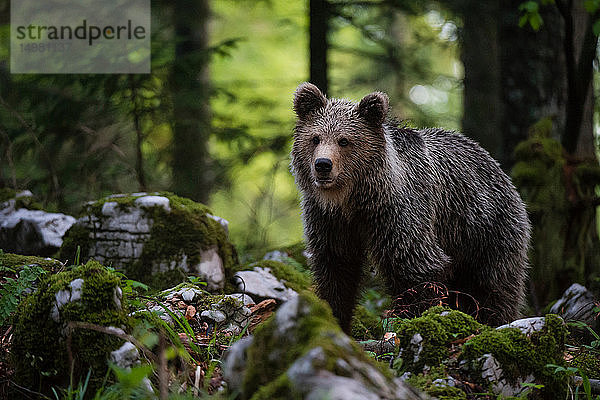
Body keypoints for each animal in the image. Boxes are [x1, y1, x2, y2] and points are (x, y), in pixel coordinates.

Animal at [290, 81, 528, 332]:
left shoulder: (399, 213)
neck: (353, 200)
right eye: (315, 138)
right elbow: (337, 269)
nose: (322, 165)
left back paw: (497, 320)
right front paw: (334, 318)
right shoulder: (328, 220)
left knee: (495, 284)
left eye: (344, 140)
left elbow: (416, 266)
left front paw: (415, 319)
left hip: (487, 229)